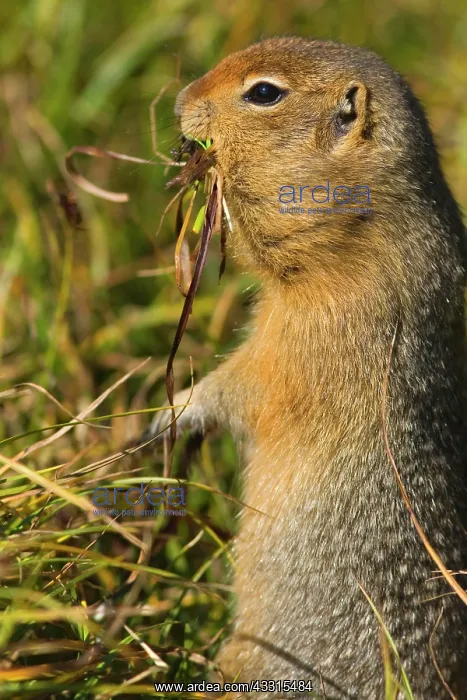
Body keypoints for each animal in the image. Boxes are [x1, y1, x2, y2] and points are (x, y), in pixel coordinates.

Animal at [145, 38, 467, 698]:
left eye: (264, 92)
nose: (183, 101)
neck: (362, 225)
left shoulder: (306, 336)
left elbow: (245, 385)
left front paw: (175, 412)